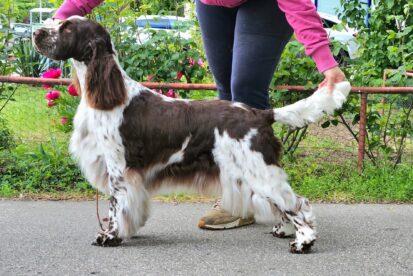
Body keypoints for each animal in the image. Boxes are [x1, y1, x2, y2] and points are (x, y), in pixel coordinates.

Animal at [32, 17, 350, 253]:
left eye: (67, 28)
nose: (35, 32)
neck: (110, 95)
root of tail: (261, 114)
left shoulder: (119, 169)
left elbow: (115, 207)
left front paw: (109, 237)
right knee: (284, 204)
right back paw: (283, 230)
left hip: (259, 170)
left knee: (297, 204)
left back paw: (303, 242)